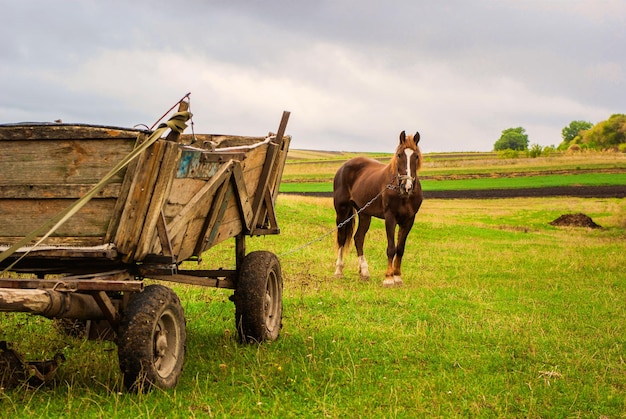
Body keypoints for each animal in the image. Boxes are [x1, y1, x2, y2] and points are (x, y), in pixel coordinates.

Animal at [332, 132, 420, 288]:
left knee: (358, 238)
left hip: (365, 214)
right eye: (399, 155)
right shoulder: (390, 218)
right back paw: (339, 271)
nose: (407, 186)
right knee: (342, 238)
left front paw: (398, 277)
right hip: (342, 211)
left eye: (416, 156)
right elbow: (391, 248)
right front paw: (388, 278)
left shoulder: (409, 220)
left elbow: (400, 248)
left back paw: (364, 272)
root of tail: (343, 167)